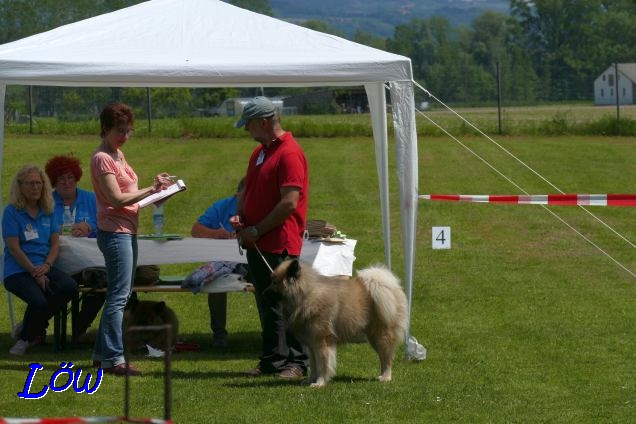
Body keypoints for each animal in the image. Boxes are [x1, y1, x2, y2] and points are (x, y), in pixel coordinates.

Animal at [268, 258, 408, 388]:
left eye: (274, 282)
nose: (264, 292)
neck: (306, 295)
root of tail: (393, 288)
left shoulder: (322, 342)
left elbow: (323, 365)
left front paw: (320, 382)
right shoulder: (311, 344)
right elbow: (313, 365)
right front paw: (310, 380)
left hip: (380, 336)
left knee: (387, 359)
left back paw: (386, 377)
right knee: (383, 358)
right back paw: (381, 376)